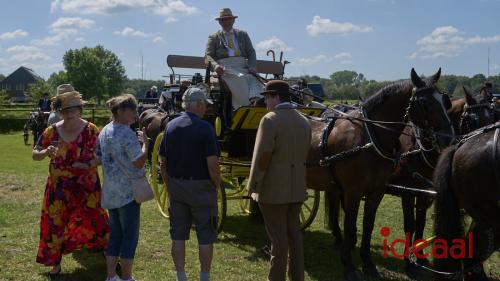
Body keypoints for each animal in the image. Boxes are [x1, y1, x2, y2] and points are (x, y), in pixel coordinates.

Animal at [304, 68, 454, 280]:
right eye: (425, 103)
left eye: (444, 100)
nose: (449, 139)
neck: (368, 138)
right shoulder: (357, 192)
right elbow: (352, 225)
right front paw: (349, 266)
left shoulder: (378, 192)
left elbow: (369, 224)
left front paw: (368, 263)